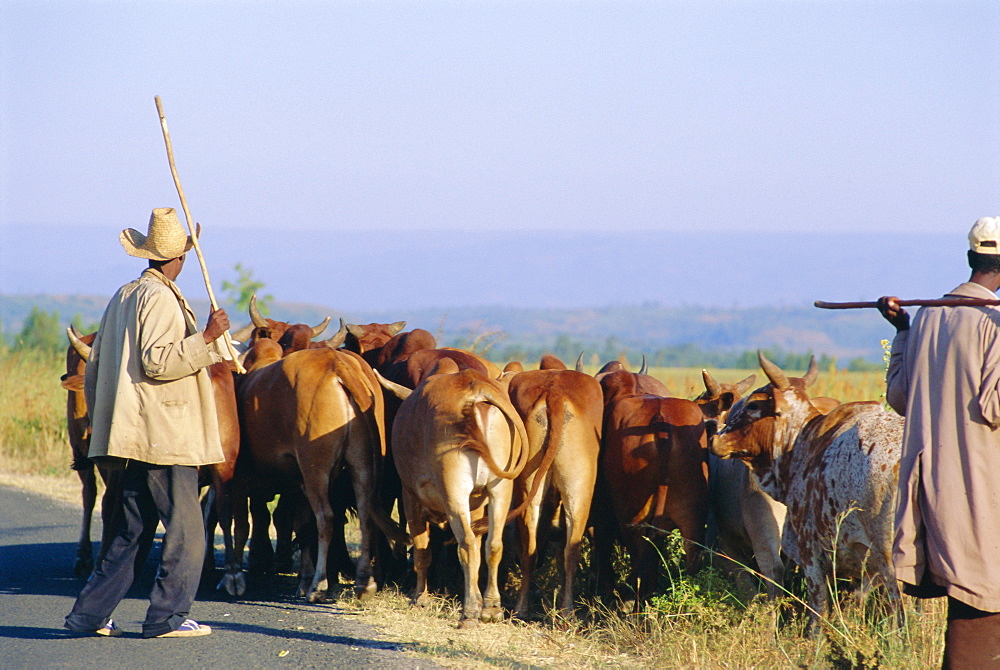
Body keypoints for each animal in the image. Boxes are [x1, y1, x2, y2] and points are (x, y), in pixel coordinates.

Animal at [376, 364, 532, 628]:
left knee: (466, 545)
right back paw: (491, 608)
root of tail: (474, 388)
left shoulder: (410, 497)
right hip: (500, 488)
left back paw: (469, 612)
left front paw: (419, 598)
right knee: (493, 544)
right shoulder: (477, 505)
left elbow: (422, 551)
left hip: (454, 490)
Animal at [508, 370, 600, 624]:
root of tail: (555, 392)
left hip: (531, 490)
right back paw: (568, 611)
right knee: (571, 552)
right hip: (579, 492)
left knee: (531, 551)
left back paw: (522, 609)